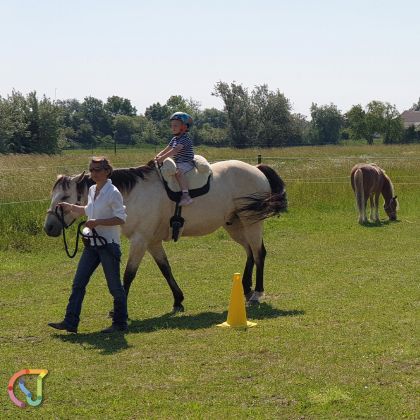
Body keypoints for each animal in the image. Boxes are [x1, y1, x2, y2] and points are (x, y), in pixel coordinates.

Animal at [44, 159, 288, 314]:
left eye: (65, 197)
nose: (49, 227)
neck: (131, 195)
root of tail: (256, 168)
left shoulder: (140, 240)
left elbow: (128, 275)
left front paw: (118, 309)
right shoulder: (152, 242)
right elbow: (165, 269)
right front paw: (178, 300)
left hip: (251, 222)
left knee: (259, 253)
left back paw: (257, 293)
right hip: (235, 225)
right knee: (250, 252)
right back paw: (246, 288)